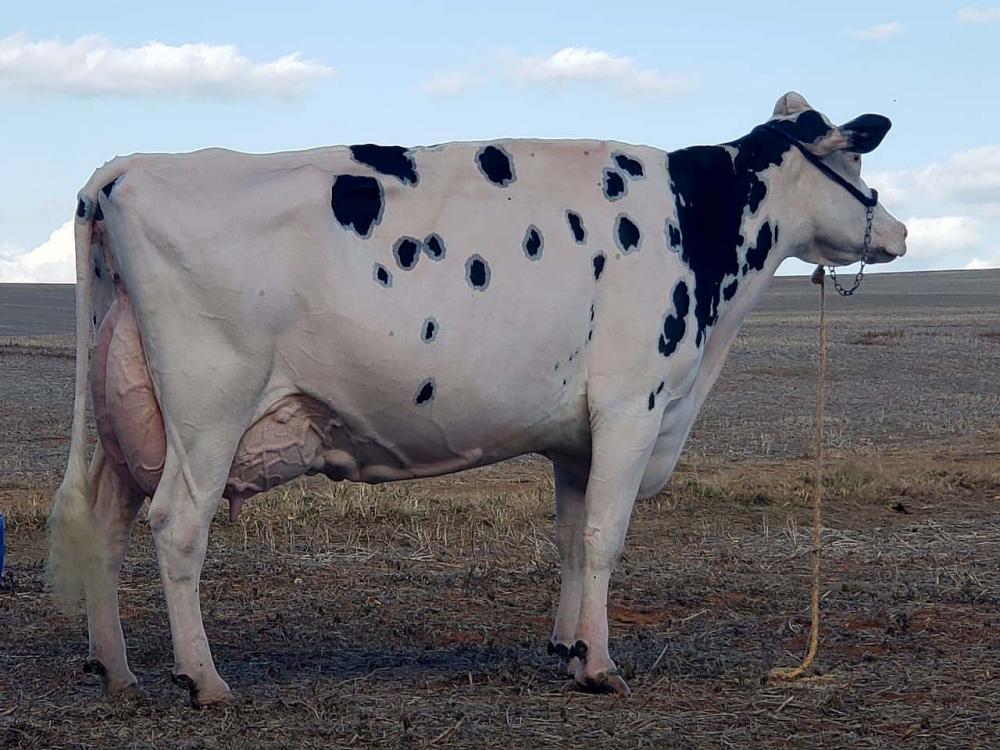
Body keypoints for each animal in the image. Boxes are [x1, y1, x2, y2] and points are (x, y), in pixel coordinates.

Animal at [47, 92, 906, 705]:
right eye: (860, 170)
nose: (896, 231)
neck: (695, 227)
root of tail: (124, 170)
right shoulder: (632, 405)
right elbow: (605, 537)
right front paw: (601, 666)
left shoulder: (576, 436)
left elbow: (570, 538)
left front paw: (567, 648)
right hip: (208, 405)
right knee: (176, 523)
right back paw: (204, 680)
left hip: (125, 410)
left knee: (105, 522)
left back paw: (115, 669)